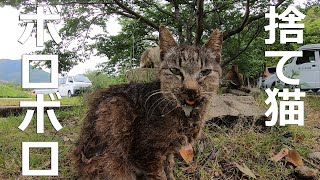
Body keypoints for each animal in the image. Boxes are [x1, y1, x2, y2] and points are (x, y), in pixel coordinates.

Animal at [72, 26, 222, 179]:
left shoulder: (168, 151)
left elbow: (169, 169)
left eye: (205, 72)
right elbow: (160, 176)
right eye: (175, 70)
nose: (191, 90)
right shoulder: (148, 156)